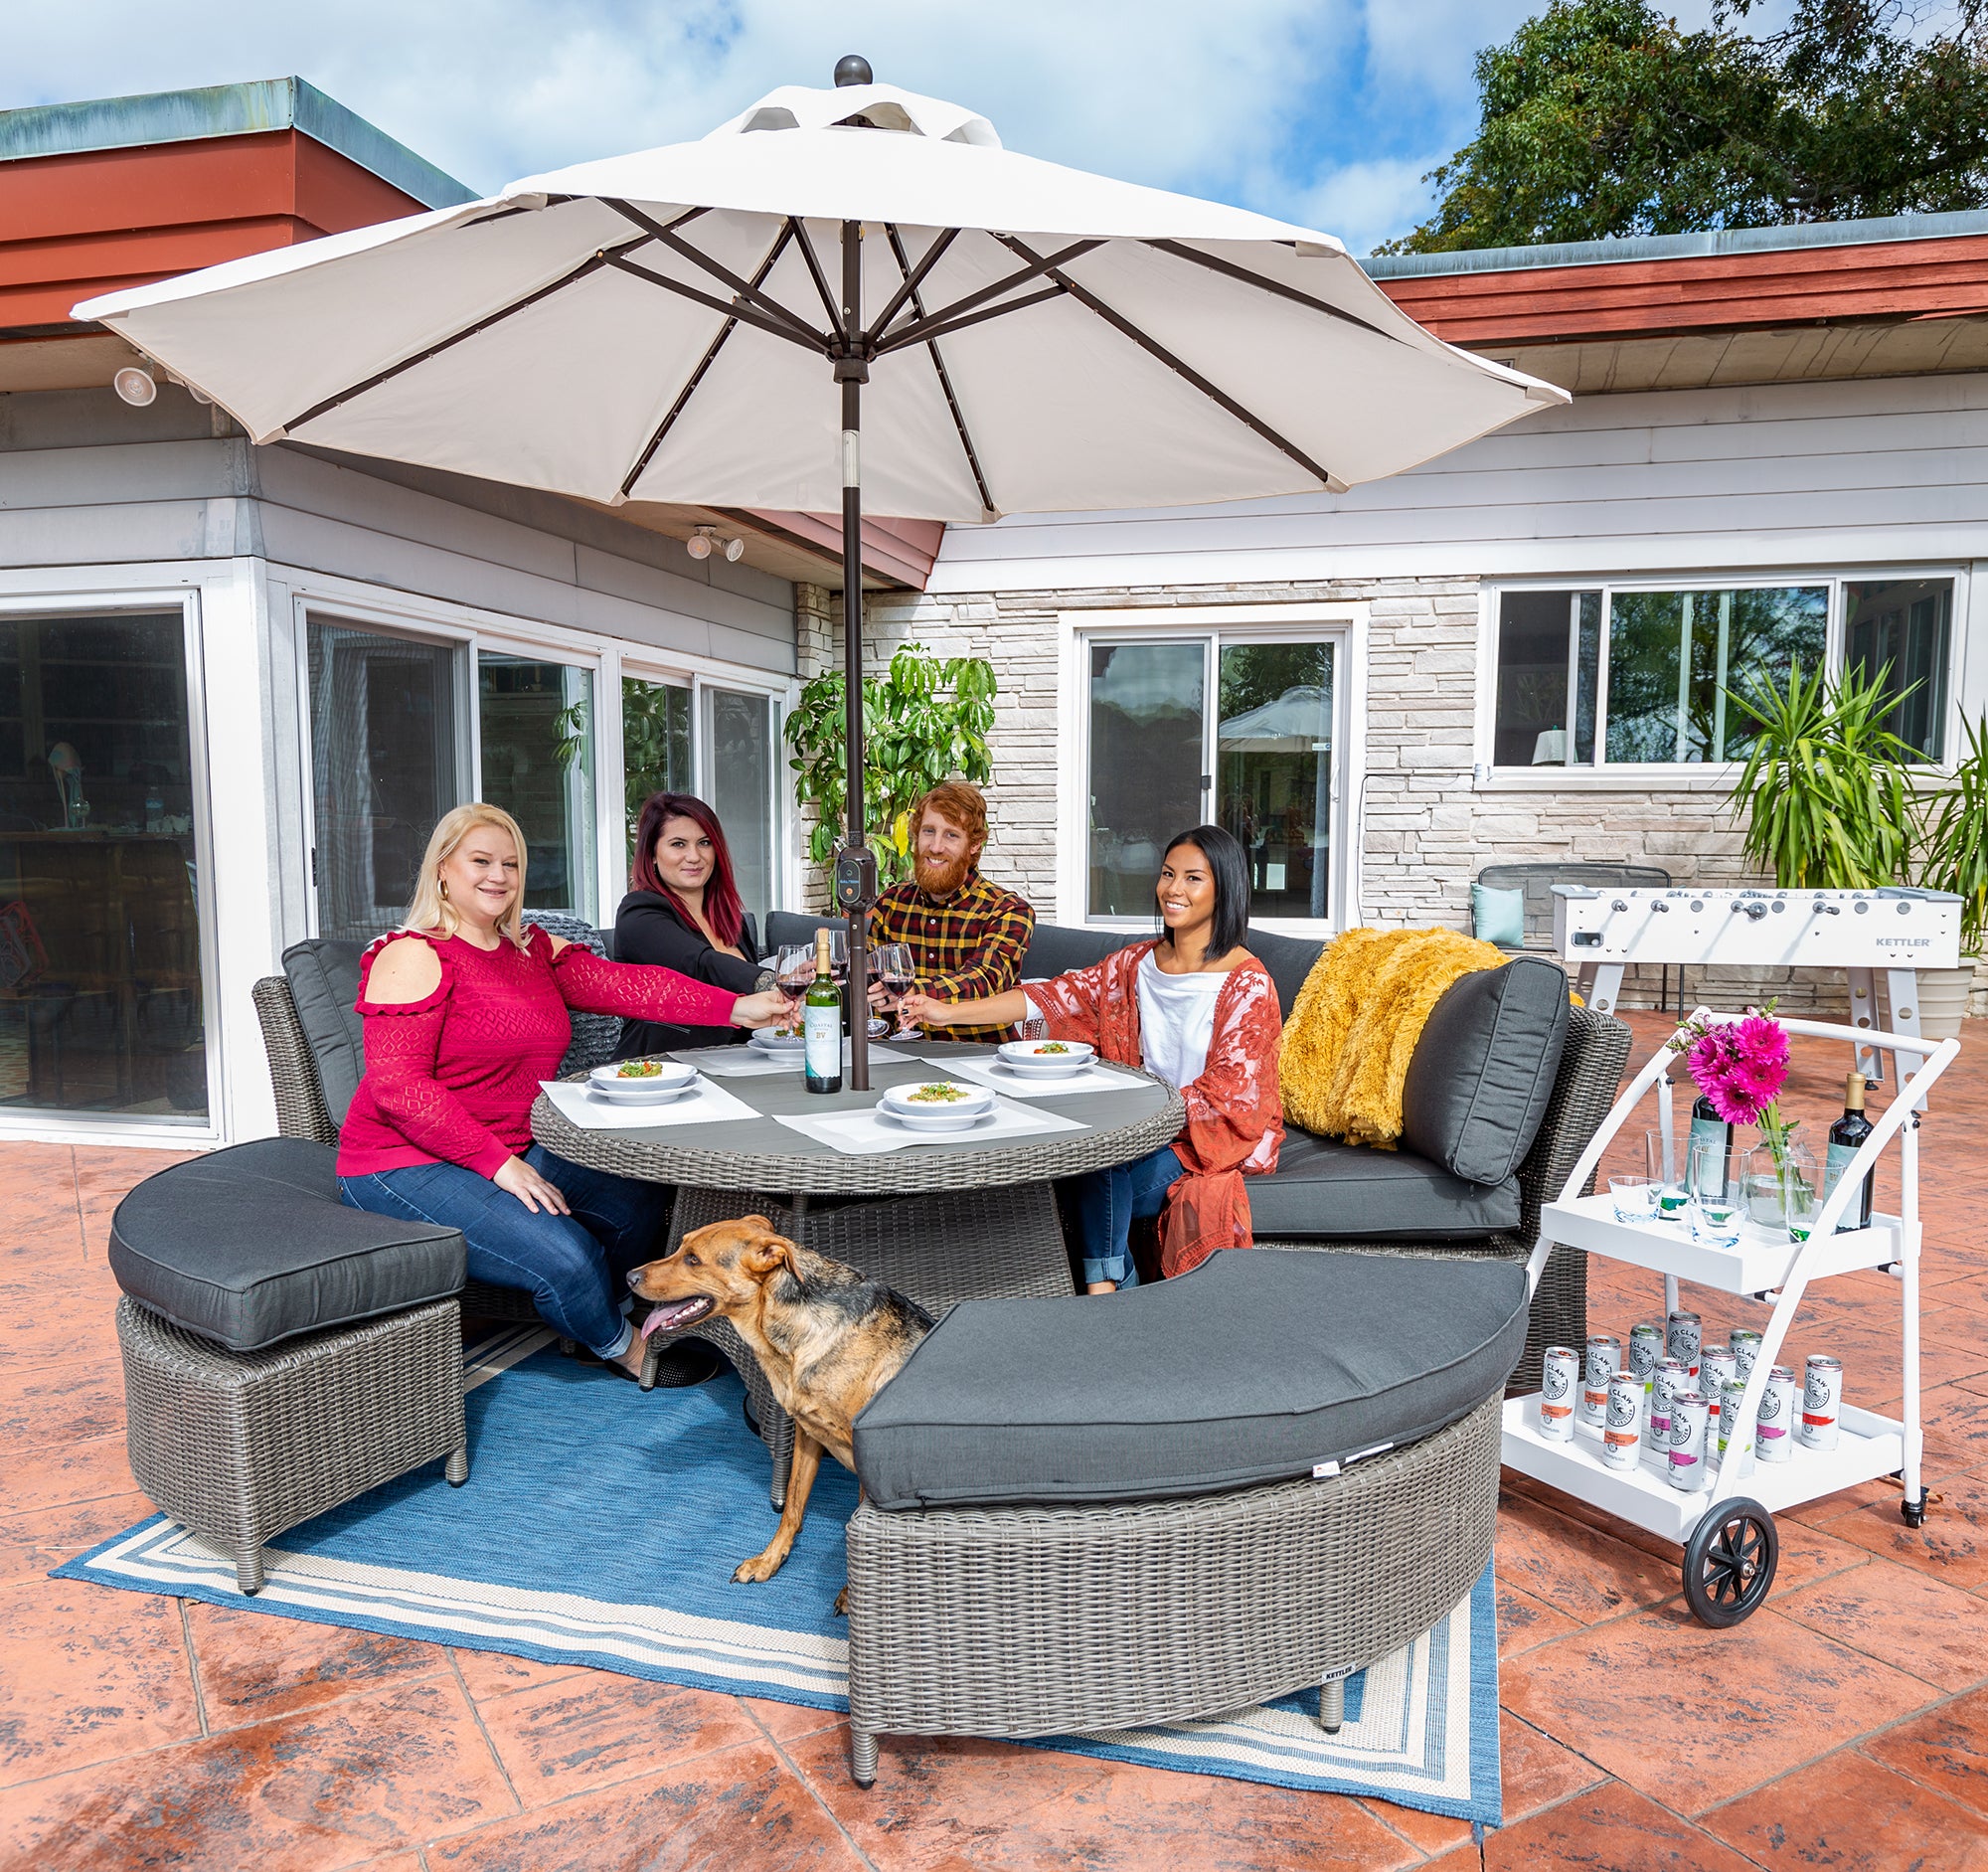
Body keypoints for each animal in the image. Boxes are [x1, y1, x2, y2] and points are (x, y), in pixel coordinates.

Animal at [627, 1216, 932, 1587]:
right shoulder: (807, 1434)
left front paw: (849, 1592)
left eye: (694, 1259)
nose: (628, 1277)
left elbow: (858, 1533)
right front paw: (769, 1560)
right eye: (682, 1246)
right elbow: (792, 1508)